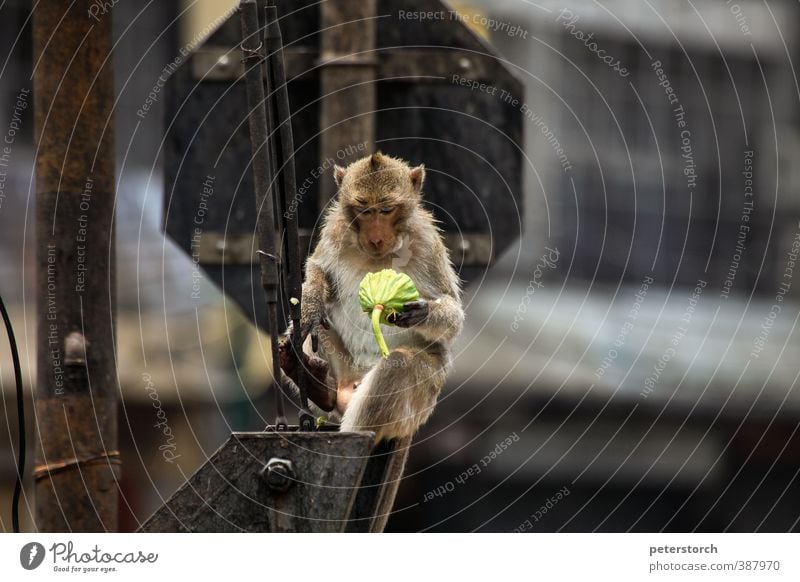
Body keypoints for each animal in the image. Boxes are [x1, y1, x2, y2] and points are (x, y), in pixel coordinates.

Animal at [286, 152, 462, 442]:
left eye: (387, 209)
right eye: (365, 210)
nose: (376, 239)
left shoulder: (427, 241)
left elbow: (453, 314)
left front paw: (422, 312)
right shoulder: (335, 230)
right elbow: (317, 269)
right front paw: (310, 306)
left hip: (421, 398)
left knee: (397, 365)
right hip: (344, 369)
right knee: (313, 329)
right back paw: (314, 383)